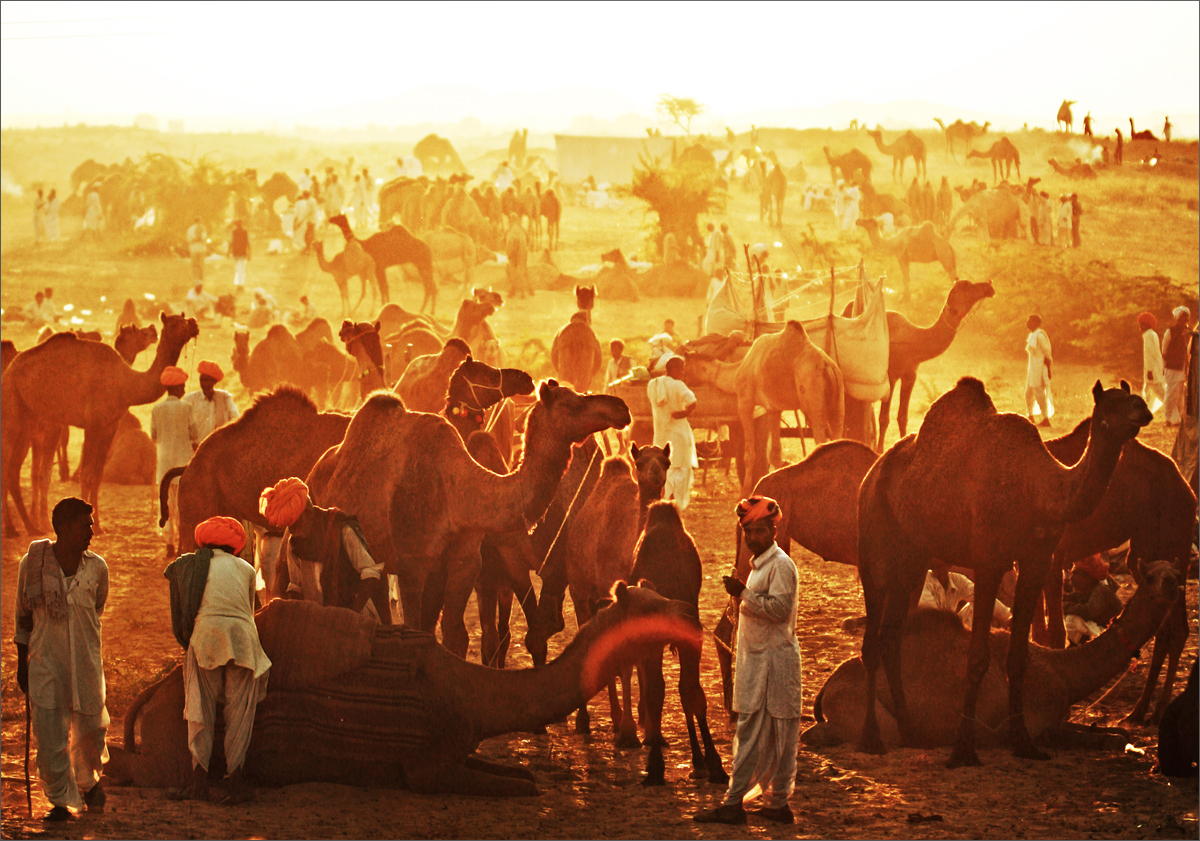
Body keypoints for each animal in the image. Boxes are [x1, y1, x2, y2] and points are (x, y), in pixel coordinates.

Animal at [4, 311, 196, 527]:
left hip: (31, 419)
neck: (125, 382)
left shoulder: (109, 426)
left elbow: (96, 476)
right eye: (174, 324)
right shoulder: (93, 425)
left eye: (184, 318)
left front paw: (98, 524)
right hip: (14, 406)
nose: (194, 323)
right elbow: (87, 474)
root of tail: (12, 367)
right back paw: (20, 527)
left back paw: (30, 525)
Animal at [106, 583, 700, 791]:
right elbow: (516, 787)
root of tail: (161, 687)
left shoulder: (461, 743)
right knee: (148, 769)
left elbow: (518, 773)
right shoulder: (426, 765)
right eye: (650, 606)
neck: (475, 694)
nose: (686, 609)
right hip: (176, 745)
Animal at [312, 381, 628, 647]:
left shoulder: (465, 560)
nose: (621, 408)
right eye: (571, 403)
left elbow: (453, 633)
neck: (459, 491)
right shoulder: (413, 562)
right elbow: (416, 626)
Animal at [806, 561, 1180, 743]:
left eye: (1173, 573)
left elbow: (1112, 734)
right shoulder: (1031, 722)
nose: (1172, 582)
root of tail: (827, 685)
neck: (1062, 673)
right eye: (1150, 577)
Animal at [854, 376, 1152, 763]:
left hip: (914, 557)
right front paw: (964, 749)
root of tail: (872, 474)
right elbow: (978, 657)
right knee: (872, 639)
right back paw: (871, 739)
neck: (1039, 488)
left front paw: (1023, 742)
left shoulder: (1036, 560)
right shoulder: (989, 560)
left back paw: (911, 732)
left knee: (892, 636)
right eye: (1110, 405)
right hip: (875, 547)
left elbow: (1019, 655)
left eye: (1132, 397)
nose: (1143, 409)